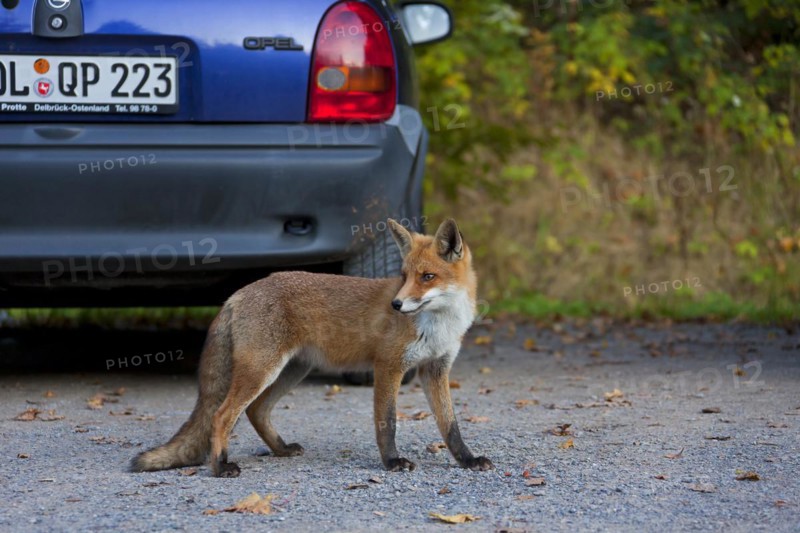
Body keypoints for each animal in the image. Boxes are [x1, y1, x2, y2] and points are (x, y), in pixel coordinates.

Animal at [131, 218, 493, 477]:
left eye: (427, 276)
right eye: (404, 276)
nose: (396, 304)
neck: (439, 324)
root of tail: (238, 293)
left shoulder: (435, 369)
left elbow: (450, 426)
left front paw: (468, 460)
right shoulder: (388, 366)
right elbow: (387, 422)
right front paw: (392, 462)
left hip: (292, 370)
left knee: (255, 410)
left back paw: (281, 450)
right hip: (263, 370)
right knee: (222, 415)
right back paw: (221, 466)